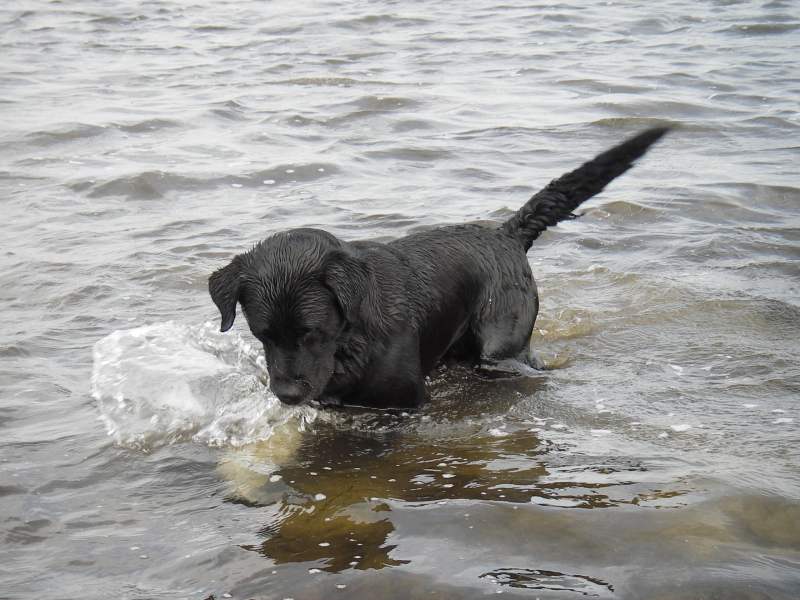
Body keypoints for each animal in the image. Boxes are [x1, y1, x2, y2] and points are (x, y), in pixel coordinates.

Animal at [209, 128, 668, 408]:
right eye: (261, 335)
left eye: (312, 333)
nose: (286, 394)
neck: (353, 340)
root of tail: (505, 234)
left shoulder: (405, 403)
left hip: (502, 346)